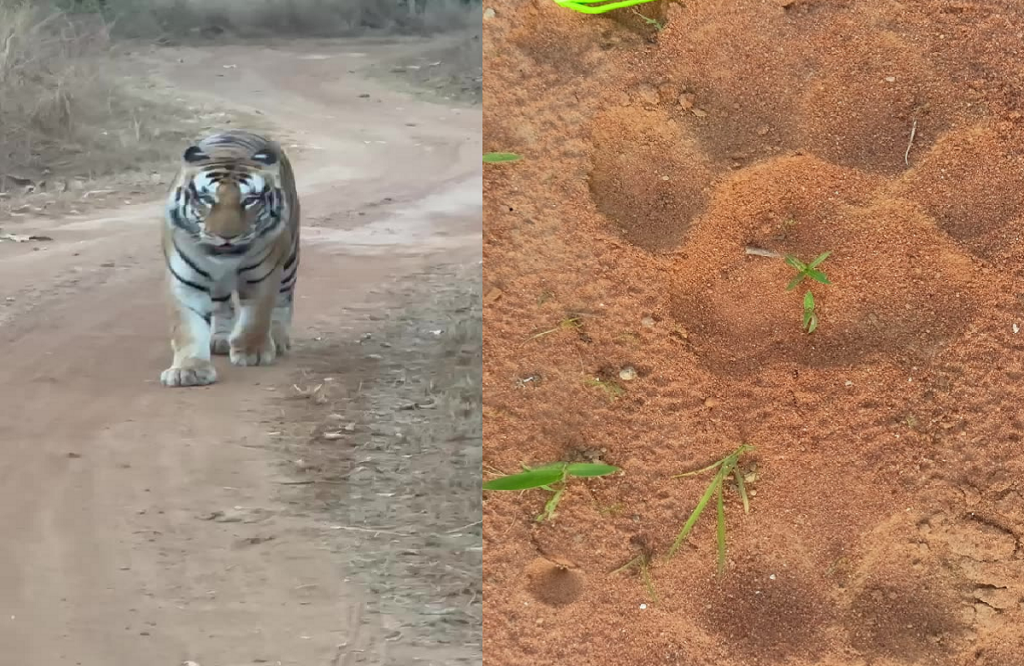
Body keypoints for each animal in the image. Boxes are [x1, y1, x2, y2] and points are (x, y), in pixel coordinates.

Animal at [159, 130, 300, 388]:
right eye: (206, 199)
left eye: (250, 200)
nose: (227, 236)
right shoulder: (185, 282)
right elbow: (188, 326)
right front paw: (189, 370)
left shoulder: (262, 276)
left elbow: (256, 316)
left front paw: (252, 352)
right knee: (221, 305)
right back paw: (221, 339)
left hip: (289, 263)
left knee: (283, 301)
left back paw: (277, 339)